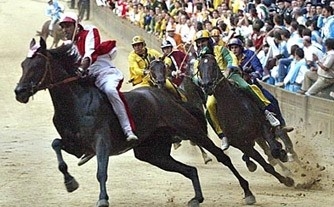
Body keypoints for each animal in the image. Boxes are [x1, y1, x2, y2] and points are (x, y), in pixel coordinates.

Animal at [14, 37, 258, 207]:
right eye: (23, 64)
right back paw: (197, 197)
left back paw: (248, 192)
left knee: (222, 157)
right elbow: (57, 146)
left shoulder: (101, 142)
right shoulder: (76, 145)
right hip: (151, 152)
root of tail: (166, 98)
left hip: (190, 129)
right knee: (189, 170)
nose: (19, 92)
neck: (76, 101)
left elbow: (101, 171)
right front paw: (70, 182)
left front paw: (102, 198)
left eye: (36, 65)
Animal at [196, 53, 294, 186]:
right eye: (199, 68)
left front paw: (283, 155)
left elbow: (274, 150)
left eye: (214, 65)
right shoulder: (242, 144)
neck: (234, 108)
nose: (207, 85)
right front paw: (287, 180)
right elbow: (267, 165)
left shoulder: (262, 127)